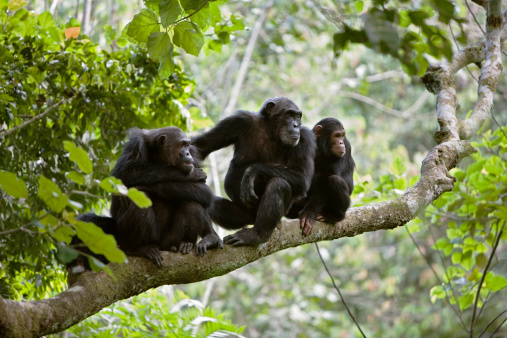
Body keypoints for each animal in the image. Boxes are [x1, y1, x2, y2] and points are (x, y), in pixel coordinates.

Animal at [71, 127, 222, 270]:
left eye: (187, 145)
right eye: (181, 145)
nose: (187, 153)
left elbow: (203, 190)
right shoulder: (135, 146)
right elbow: (125, 174)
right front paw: (191, 174)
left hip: (169, 240)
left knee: (192, 200)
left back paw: (197, 240)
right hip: (129, 236)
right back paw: (138, 248)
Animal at [191, 96, 316, 247]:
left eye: (298, 116)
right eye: (289, 115)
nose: (295, 125)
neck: (271, 132)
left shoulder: (306, 138)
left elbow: (301, 176)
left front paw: (251, 172)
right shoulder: (238, 121)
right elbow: (200, 146)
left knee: (278, 184)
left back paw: (257, 235)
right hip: (243, 216)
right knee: (210, 203)